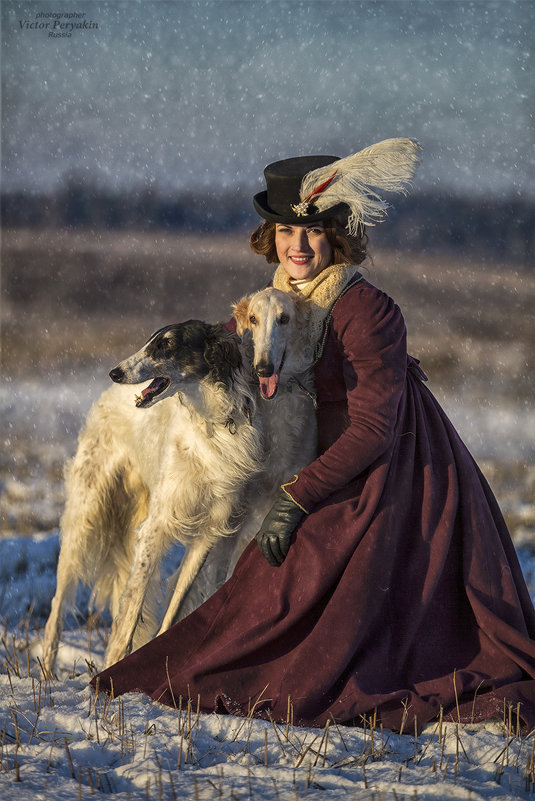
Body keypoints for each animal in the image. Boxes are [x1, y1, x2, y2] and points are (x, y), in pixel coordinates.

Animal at [43, 288, 318, 676]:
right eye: (150, 341)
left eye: (167, 345)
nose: (115, 372)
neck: (211, 424)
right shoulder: (156, 526)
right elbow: (129, 615)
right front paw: (111, 673)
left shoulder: (211, 530)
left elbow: (172, 612)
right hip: (86, 513)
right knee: (59, 602)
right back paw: (46, 670)